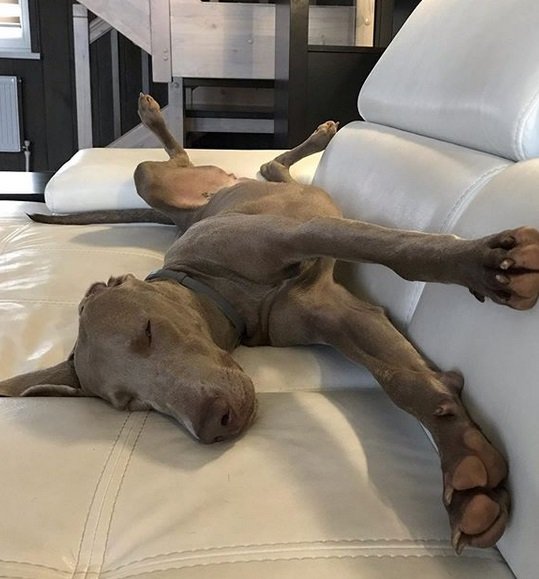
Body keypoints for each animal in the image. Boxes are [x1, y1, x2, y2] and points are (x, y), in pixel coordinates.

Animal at [1, 94, 539, 552]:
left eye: (149, 330)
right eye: (130, 404)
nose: (213, 424)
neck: (221, 292)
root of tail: (185, 215)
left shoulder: (296, 236)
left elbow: (403, 251)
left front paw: (483, 265)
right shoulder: (334, 314)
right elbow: (403, 380)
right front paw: (467, 467)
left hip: (150, 177)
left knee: (202, 160)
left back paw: (162, 114)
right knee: (266, 166)